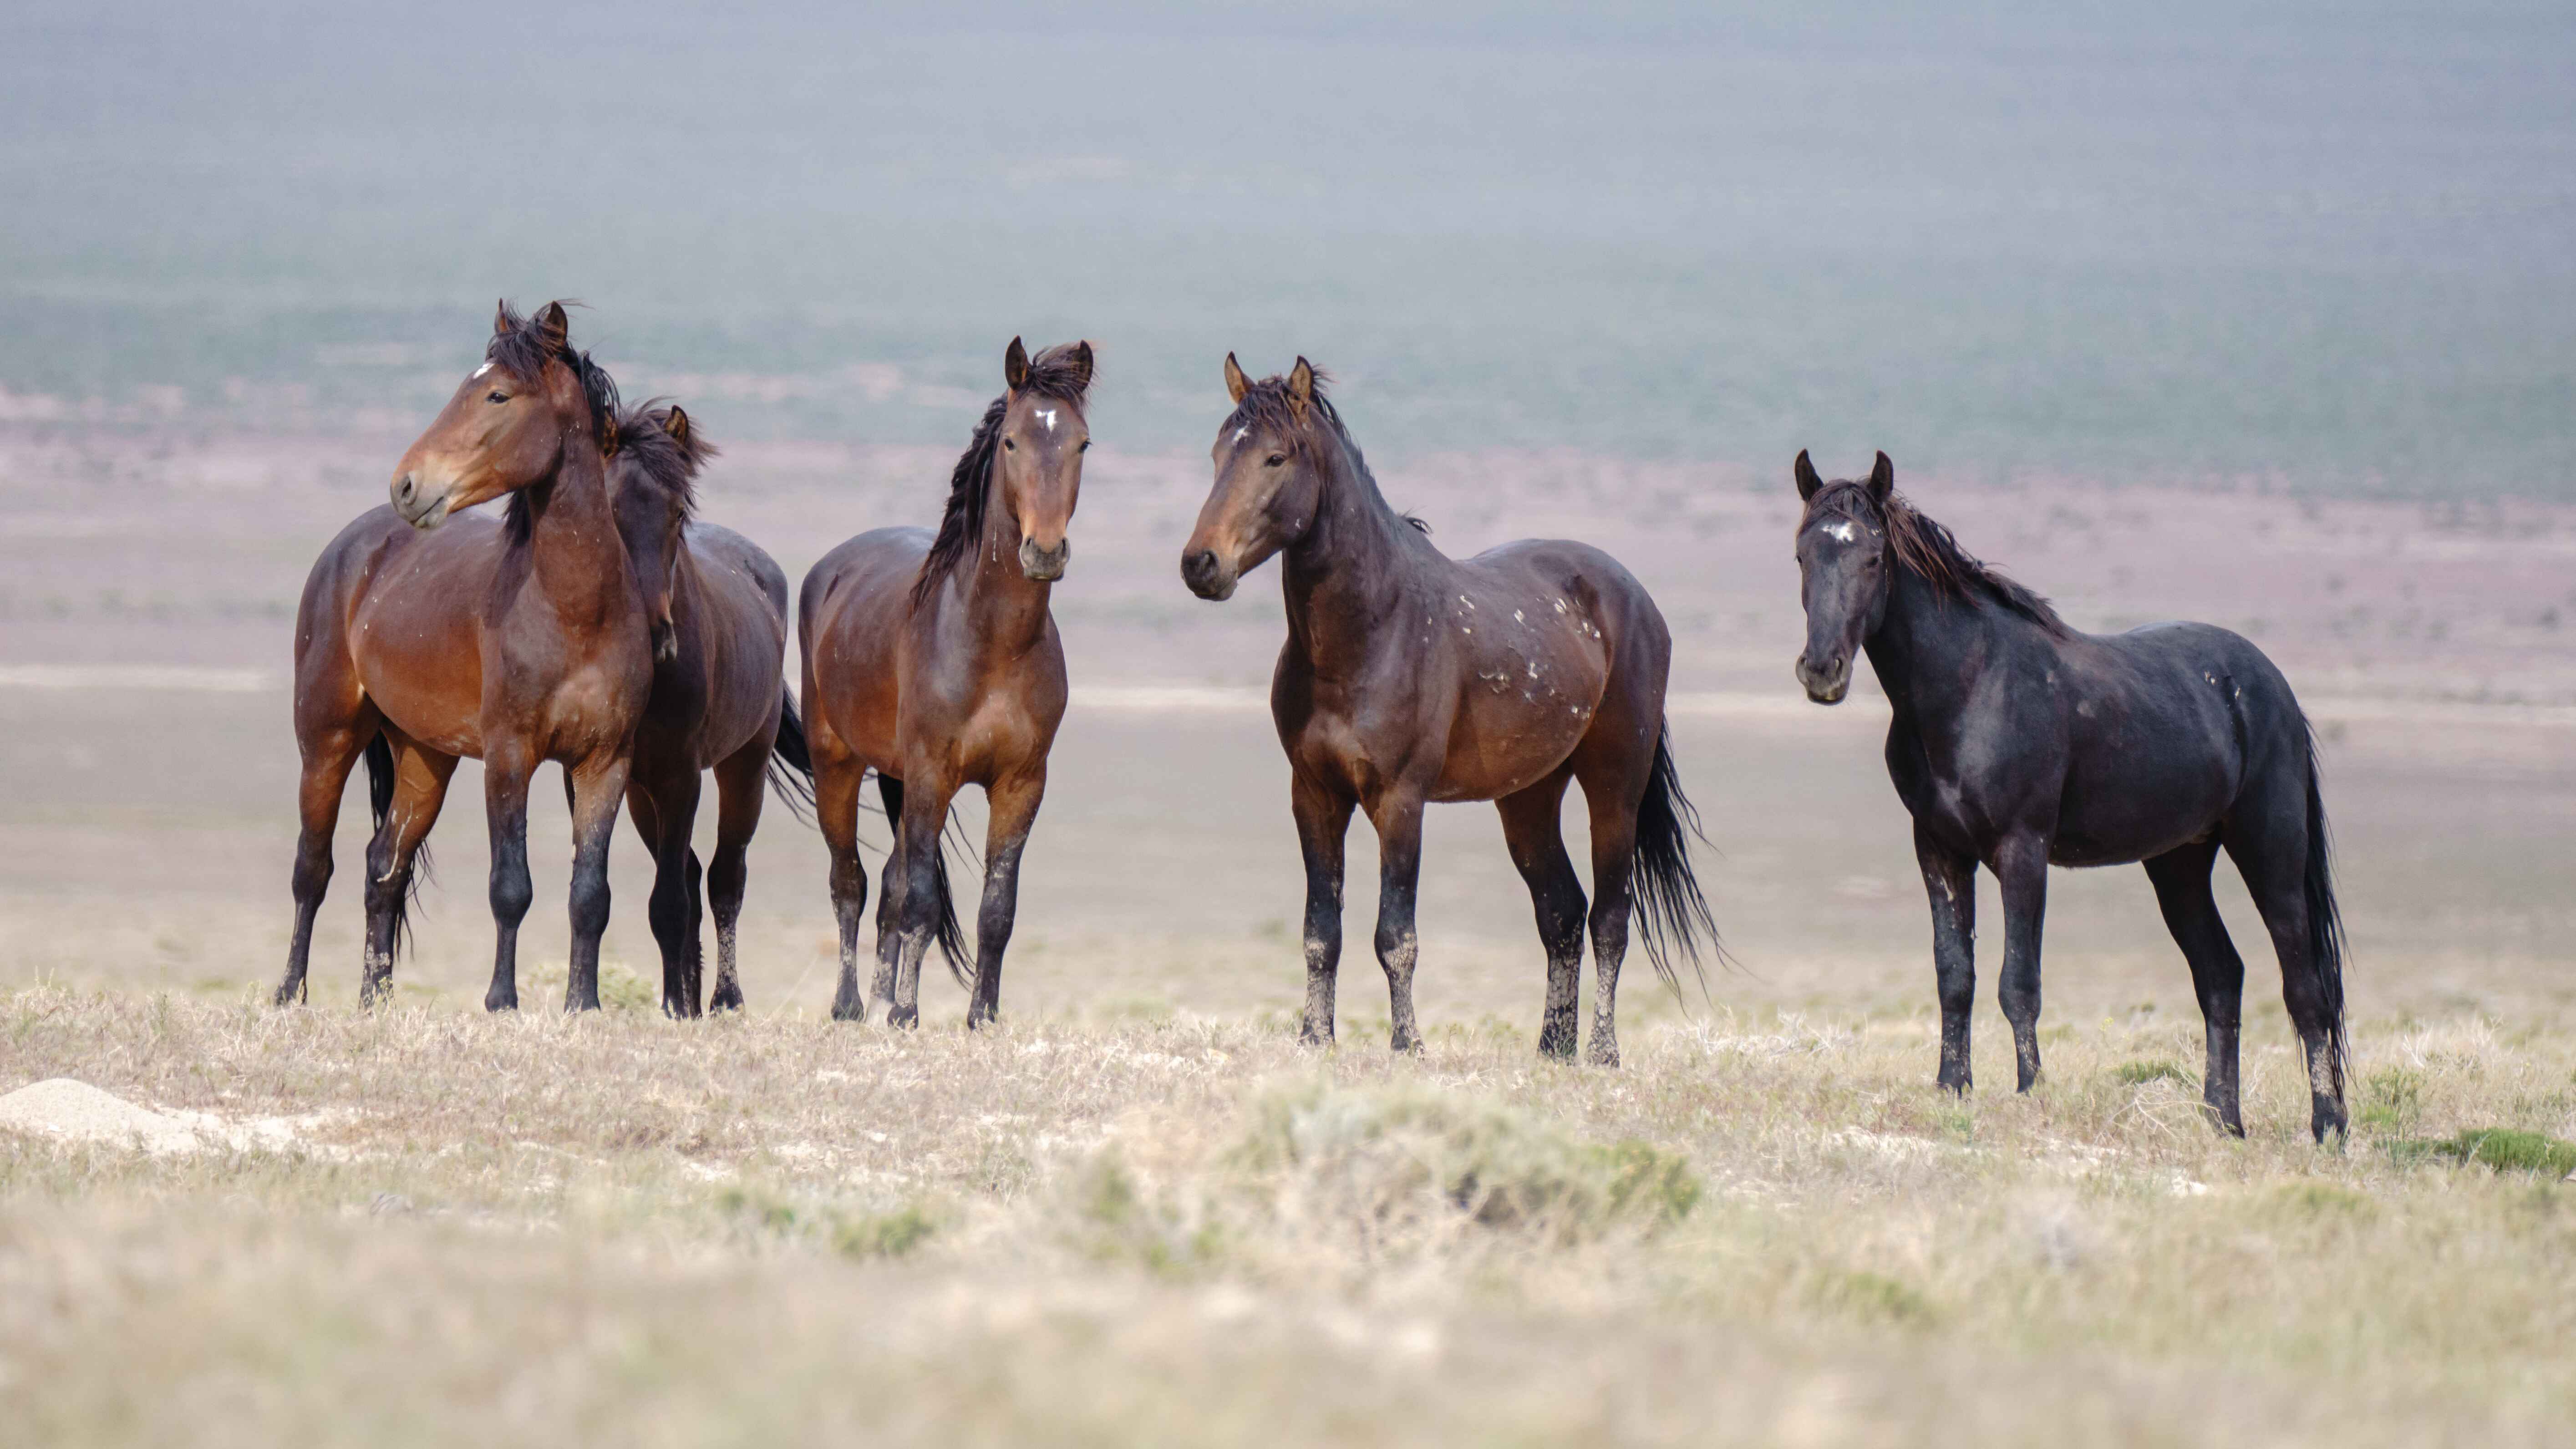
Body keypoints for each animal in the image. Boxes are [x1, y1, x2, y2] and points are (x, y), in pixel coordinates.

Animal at [275, 301, 652, 1013]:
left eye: (497, 394)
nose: (406, 485)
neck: (576, 612)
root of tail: (354, 546)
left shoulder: (605, 762)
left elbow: (590, 894)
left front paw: (583, 1005)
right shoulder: (508, 756)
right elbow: (511, 886)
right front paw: (501, 1001)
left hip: (425, 757)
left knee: (383, 866)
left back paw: (375, 1004)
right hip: (327, 739)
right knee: (313, 868)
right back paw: (289, 994)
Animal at [603, 402, 815, 1018]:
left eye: (678, 513)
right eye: (609, 510)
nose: (653, 639)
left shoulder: (681, 776)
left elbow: (672, 901)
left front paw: (681, 1007)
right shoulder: (626, 778)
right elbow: (663, 895)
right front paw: (676, 1001)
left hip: (744, 766)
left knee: (724, 879)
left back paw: (725, 998)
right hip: (645, 794)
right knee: (694, 876)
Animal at [799, 337, 1094, 1028]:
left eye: (1081, 443)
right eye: (1011, 441)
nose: (1045, 550)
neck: (994, 644)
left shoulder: (1021, 784)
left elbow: (994, 909)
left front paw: (981, 1016)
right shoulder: (933, 774)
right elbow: (922, 900)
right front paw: (906, 1014)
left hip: (897, 778)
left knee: (887, 884)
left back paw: (879, 999)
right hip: (838, 764)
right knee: (850, 882)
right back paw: (853, 1005)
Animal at [1180, 355, 1716, 1064]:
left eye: (1275, 457)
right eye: (1218, 454)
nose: (1200, 564)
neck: (1369, 632)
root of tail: (1633, 595)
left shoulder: (1400, 801)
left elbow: (1395, 935)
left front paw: (1407, 1046)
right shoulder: (1314, 795)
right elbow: (1320, 931)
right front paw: (1314, 1040)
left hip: (1614, 787)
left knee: (1608, 918)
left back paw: (1601, 1052)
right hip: (1528, 798)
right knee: (1561, 913)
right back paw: (1552, 1049)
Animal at [1789, 451, 2349, 1141]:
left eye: (1872, 558)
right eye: (1801, 555)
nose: (1822, 670)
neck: (1969, 685)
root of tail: (2271, 684)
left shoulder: (2021, 849)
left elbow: (2017, 982)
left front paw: (2031, 1094)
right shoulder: (1938, 848)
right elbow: (1954, 973)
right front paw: (1951, 1089)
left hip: (2268, 849)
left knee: (2304, 987)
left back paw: (2327, 1127)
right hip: (2179, 862)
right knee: (2221, 976)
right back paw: (2223, 1122)